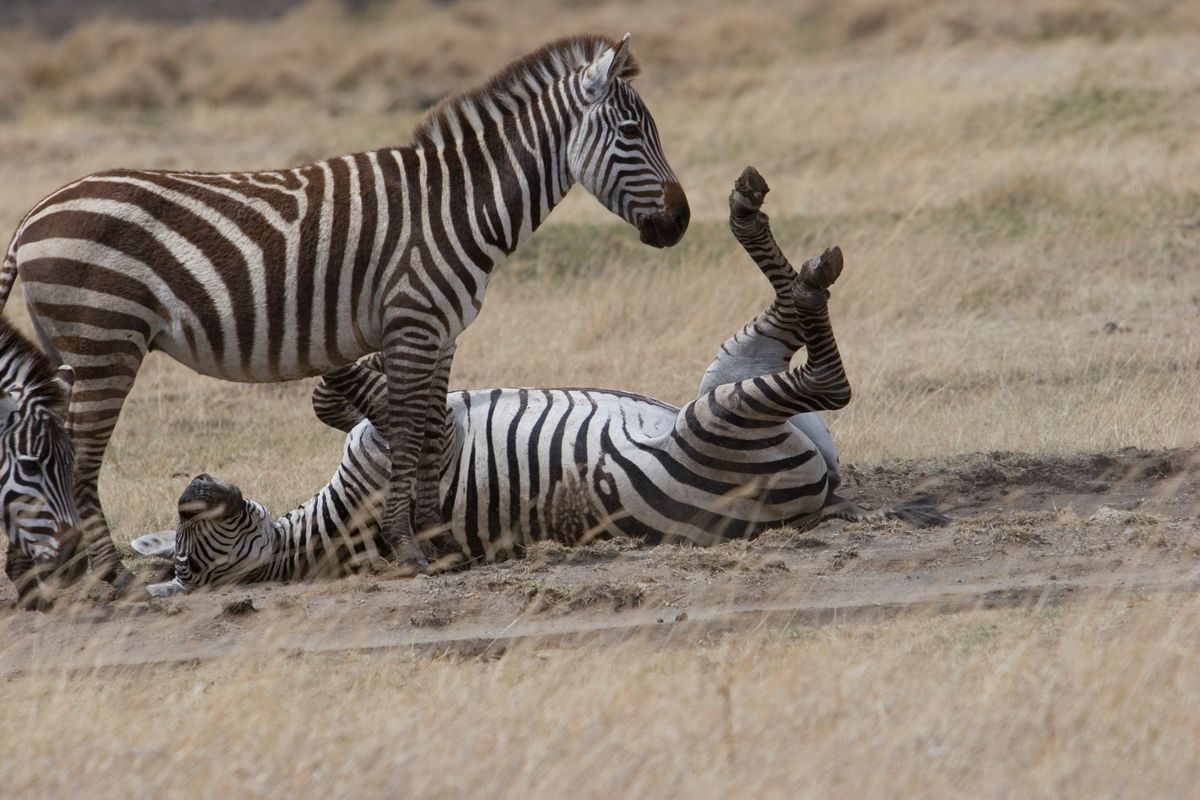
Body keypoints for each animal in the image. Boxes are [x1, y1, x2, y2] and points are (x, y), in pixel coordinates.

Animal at [134, 167, 945, 595]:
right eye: (194, 552)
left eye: (187, 528)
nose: (194, 485)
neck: (334, 538)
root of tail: (823, 493)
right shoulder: (435, 444)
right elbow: (381, 405)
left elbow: (330, 392)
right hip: (719, 421)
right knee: (829, 381)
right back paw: (784, 250)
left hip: (725, 378)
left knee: (790, 324)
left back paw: (784, 248)